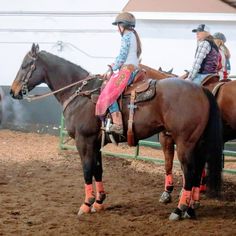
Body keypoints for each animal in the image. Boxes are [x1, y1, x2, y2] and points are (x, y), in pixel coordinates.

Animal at [9, 44, 223, 221]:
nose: (12, 91)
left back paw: (179, 210)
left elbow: (87, 170)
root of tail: (201, 90)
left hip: (185, 143)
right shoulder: (96, 143)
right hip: (197, 143)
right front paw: (99, 202)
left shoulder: (83, 140)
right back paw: (190, 209)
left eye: (26, 65)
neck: (80, 94)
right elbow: (97, 170)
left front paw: (86, 204)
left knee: (190, 172)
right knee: (198, 172)